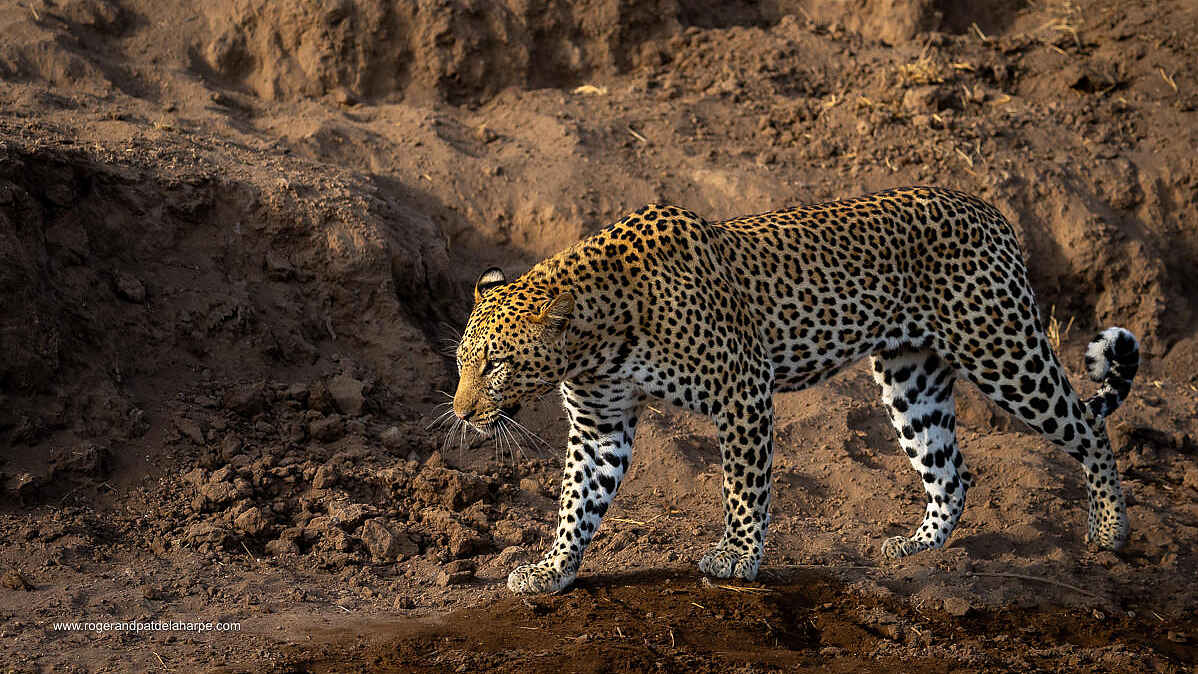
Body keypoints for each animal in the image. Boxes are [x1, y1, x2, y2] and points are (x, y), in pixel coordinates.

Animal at [448, 186, 1140, 595]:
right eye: (461, 363)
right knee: (951, 473)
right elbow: (576, 503)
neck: (595, 340)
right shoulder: (599, 425)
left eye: (496, 364)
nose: (462, 411)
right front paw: (551, 570)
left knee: (1087, 424)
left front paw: (736, 558)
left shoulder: (742, 391)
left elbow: (742, 487)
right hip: (911, 378)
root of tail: (989, 210)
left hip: (1002, 349)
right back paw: (913, 546)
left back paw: (1109, 530)